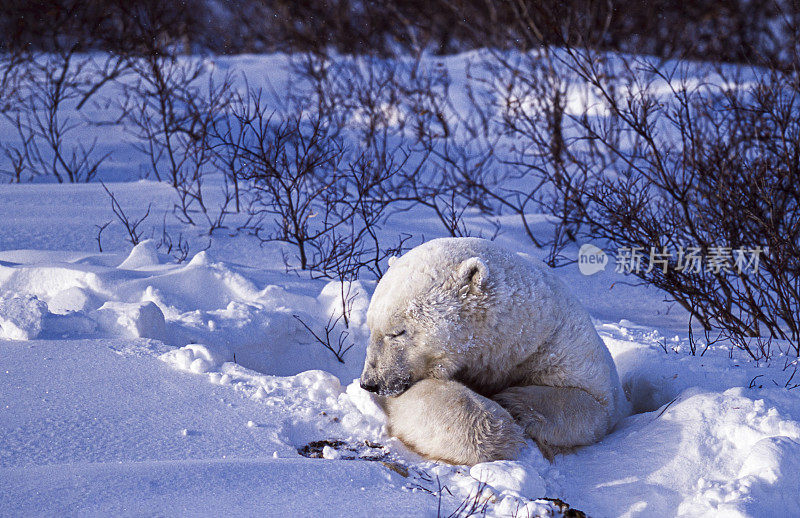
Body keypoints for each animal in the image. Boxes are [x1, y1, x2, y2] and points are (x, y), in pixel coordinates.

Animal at [360, 240, 628, 468]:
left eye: (397, 332)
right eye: (370, 327)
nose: (370, 383)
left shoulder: (558, 343)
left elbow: (593, 404)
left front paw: (512, 403)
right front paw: (502, 434)